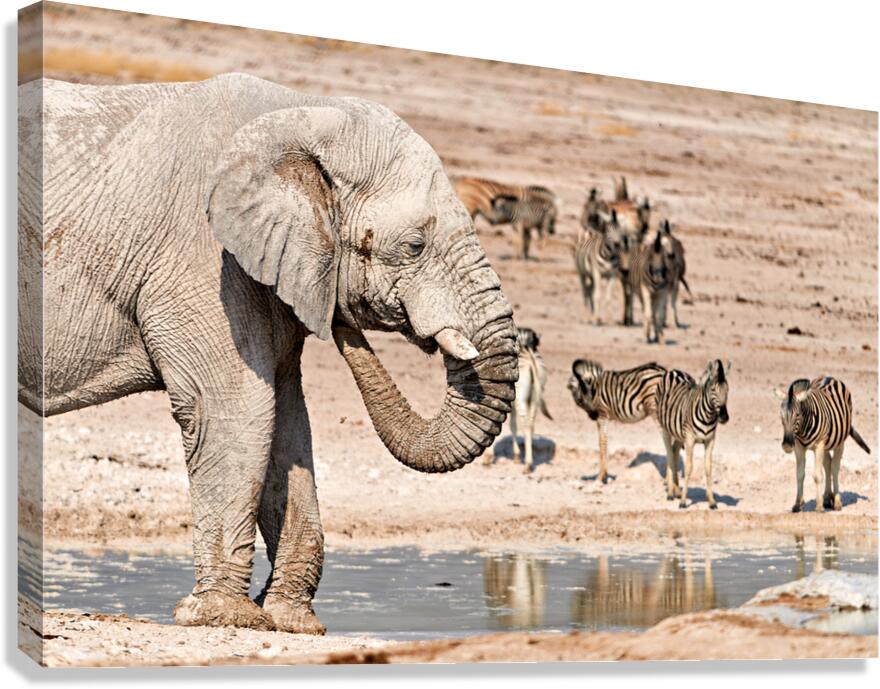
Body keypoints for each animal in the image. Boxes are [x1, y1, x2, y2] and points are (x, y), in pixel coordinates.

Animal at [18, 73, 518, 634]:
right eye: (414, 246)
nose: (342, 321)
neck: (306, 113)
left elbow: (288, 422)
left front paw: (291, 622)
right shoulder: (202, 258)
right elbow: (234, 410)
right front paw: (220, 617)